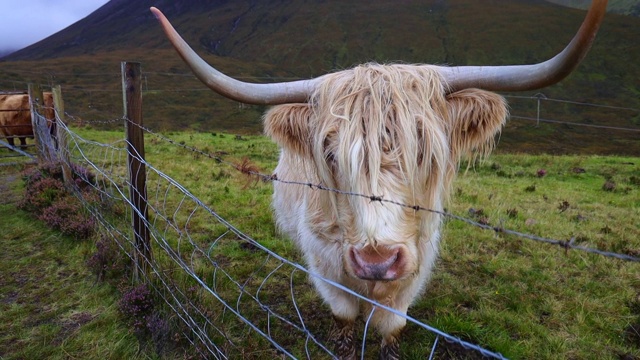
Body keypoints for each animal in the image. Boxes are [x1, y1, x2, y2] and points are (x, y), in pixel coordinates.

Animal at [151, 1, 608, 358]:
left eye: (424, 151)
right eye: (331, 154)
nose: (377, 260)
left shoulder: (415, 265)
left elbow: (391, 325)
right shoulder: (325, 265)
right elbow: (344, 317)